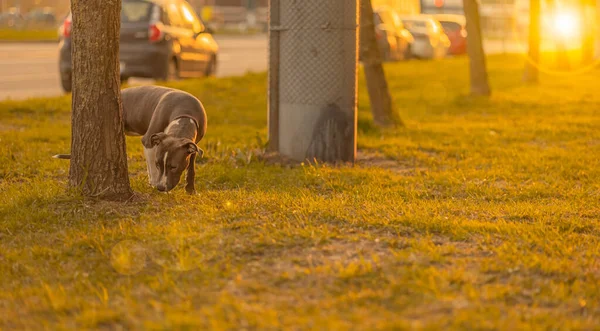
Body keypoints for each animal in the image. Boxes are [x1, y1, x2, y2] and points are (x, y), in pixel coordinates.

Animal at [54, 85, 209, 195]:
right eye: (158, 164)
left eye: (173, 167)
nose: (161, 187)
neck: (184, 114)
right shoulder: (148, 140)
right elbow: (152, 168)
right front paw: (154, 183)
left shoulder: (193, 146)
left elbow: (191, 168)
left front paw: (190, 190)